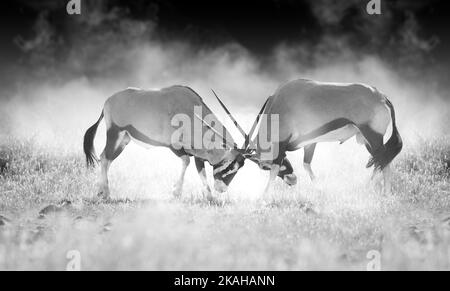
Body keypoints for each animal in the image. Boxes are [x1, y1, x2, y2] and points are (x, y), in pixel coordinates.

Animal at [81, 85, 256, 202]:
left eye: (238, 167)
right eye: (229, 165)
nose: (221, 189)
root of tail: (108, 101)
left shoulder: (198, 155)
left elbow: (201, 173)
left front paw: (210, 198)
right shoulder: (176, 147)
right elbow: (185, 162)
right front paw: (176, 192)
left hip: (124, 139)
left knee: (107, 159)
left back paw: (102, 191)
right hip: (115, 134)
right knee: (104, 158)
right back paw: (106, 194)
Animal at [213, 78, 402, 195]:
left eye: (263, 166)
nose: (219, 189)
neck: (279, 105)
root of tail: (382, 97)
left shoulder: (281, 145)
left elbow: (275, 170)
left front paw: (263, 198)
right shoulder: (310, 142)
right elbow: (307, 164)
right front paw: (320, 191)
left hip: (373, 137)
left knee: (383, 162)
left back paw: (382, 194)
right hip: (367, 140)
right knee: (381, 161)